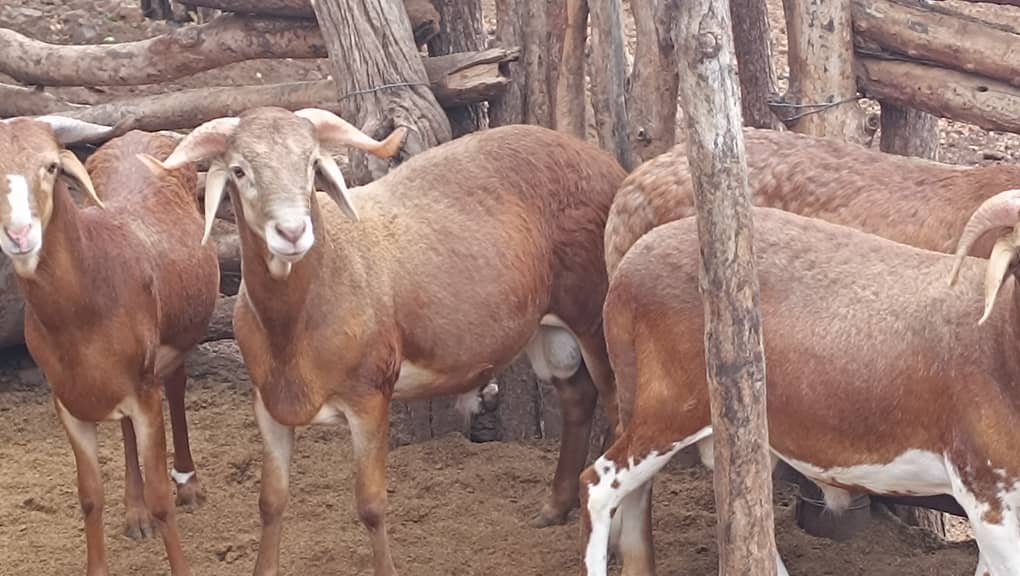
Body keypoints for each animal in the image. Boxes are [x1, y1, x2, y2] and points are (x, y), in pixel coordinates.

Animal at [0, 118, 219, 576]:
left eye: (50, 167)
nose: (19, 234)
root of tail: (138, 135)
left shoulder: (144, 391)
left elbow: (161, 499)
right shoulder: (66, 399)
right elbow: (90, 495)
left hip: (174, 342)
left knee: (177, 387)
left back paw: (189, 484)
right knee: (124, 429)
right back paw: (134, 513)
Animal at [145, 106, 626, 576]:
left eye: (311, 165)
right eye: (240, 170)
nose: (293, 232)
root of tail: (607, 164)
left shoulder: (370, 397)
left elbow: (372, 506)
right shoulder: (268, 404)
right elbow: (271, 502)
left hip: (594, 317)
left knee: (617, 414)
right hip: (549, 330)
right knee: (577, 397)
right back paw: (554, 507)